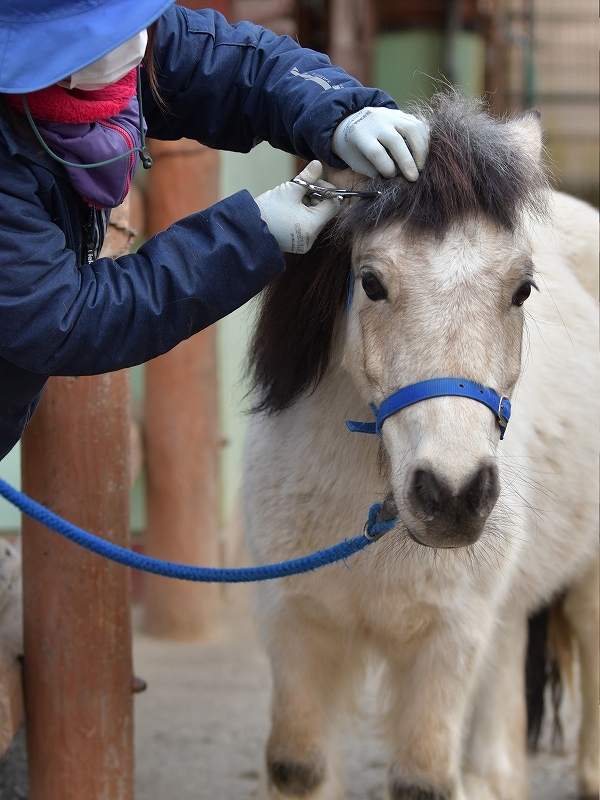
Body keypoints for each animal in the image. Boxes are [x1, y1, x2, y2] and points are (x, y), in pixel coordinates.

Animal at [241, 95, 596, 800]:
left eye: (522, 288)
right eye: (372, 282)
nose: (453, 495)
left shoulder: (447, 644)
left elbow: (425, 777)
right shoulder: (294, 631)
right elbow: (299, 766)